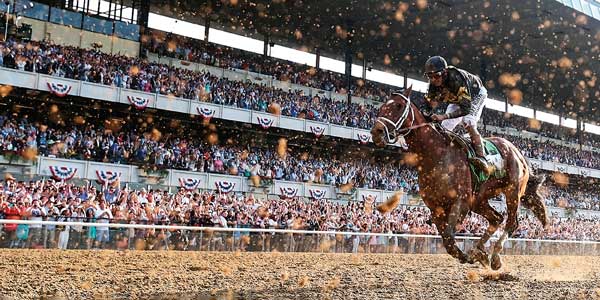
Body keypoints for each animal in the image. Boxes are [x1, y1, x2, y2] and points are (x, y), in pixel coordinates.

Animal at [370, 87, 548, 270]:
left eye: (398, 106)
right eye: (383, 106)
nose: (376, 132)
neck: (436, 154)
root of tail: (517, 152)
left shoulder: (460, 202)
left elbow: (449, 236)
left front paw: (468, 256)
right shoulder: (436, 208)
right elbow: (447, 240)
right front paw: (471, 255)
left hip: (512, 191)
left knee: (512, 222)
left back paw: (495, 257)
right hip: (479, 199)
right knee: (497, 218)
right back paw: (479, 250)